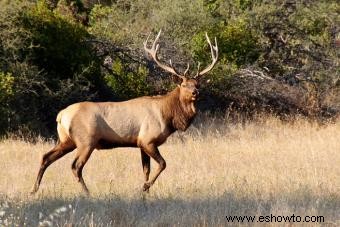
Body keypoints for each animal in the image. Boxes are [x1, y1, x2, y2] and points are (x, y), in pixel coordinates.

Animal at [31, 29, 218, 193]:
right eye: (184, 84)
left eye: (197, 84)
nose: (195, 93)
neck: (168, 116)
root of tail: (61, 116)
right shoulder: (148, 140)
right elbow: (163, 164)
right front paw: (144, 187)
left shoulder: (141, 143)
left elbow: (146, 170)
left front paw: (144, 192)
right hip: (86, 141)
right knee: (75, 166)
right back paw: (87, 192)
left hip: (66, 140)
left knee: (45, 157)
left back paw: (34, 190)